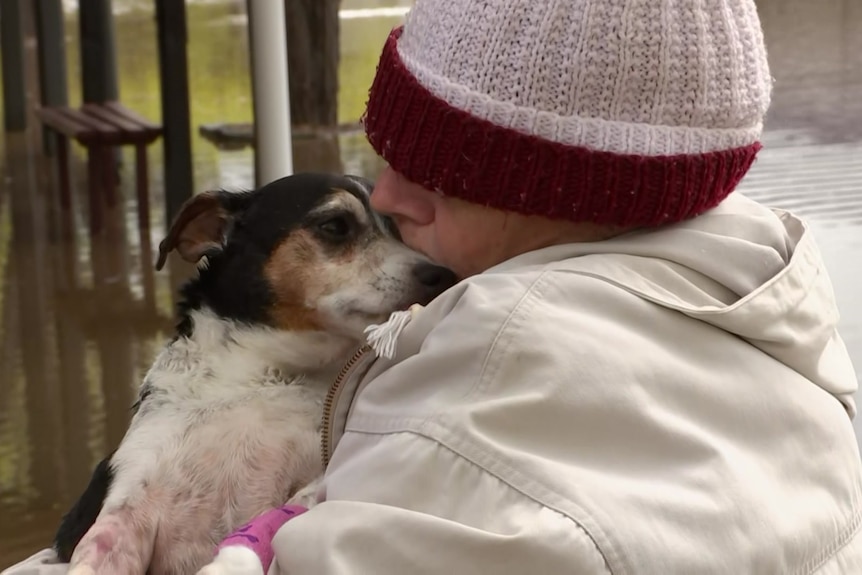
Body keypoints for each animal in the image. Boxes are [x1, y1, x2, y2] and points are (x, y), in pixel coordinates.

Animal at [51, 173, 460, 572]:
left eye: (402, 231)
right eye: (335, 225)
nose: (443, 274)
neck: (263, 378)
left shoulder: (312, 479)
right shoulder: (126, 503)